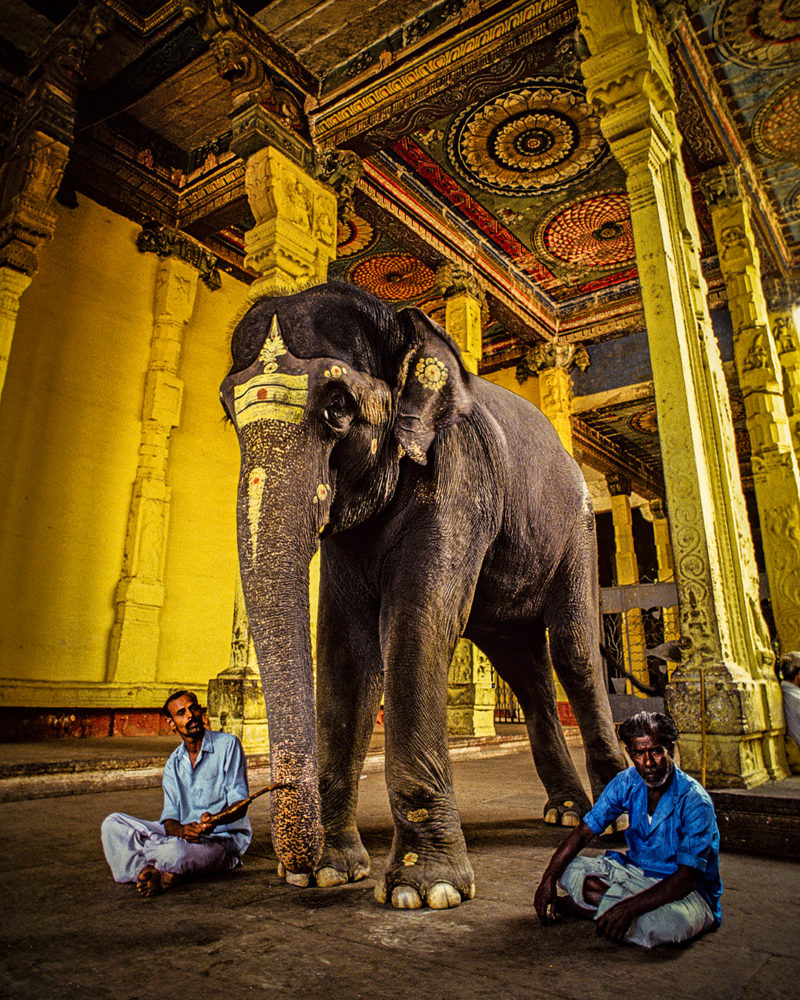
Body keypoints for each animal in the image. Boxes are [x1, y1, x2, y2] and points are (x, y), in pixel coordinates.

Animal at [219, 280, 624, 908]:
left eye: (338, 406)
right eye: (226, 411)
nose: (292, 867)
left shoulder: (459, 477)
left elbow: (418, 621)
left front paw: (425, 890)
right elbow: (346, 647)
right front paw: (331, 872)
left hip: (577, 533)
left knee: (573, 653)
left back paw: (608, 822)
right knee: (525, 670)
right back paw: (566, 812)